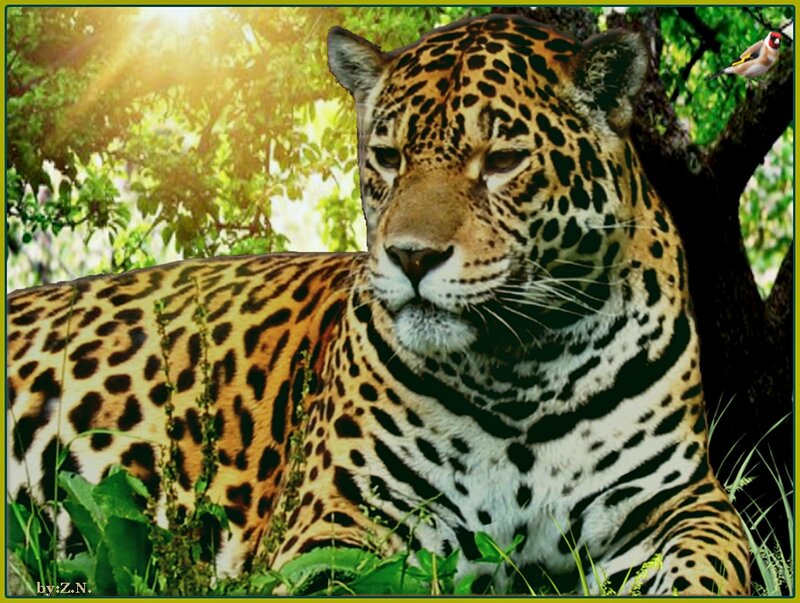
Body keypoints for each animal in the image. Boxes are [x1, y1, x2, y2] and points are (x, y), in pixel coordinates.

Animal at [7, 14, 750, 595]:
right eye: (388, 157)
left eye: (503, 159)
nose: (412, 257)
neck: (520, 371)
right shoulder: (339, 520)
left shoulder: (678, 499)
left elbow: (714, 563)